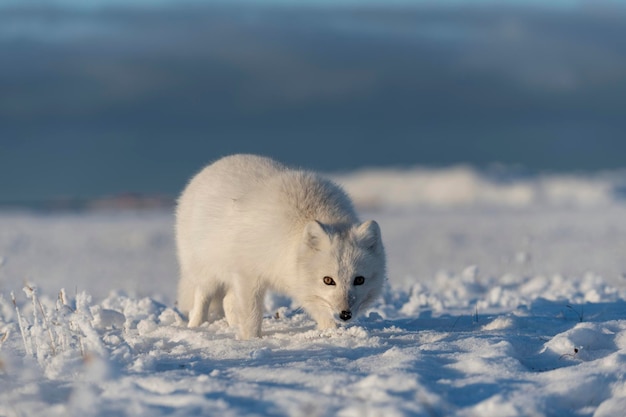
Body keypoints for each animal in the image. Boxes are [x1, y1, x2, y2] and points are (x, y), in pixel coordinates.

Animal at [173, 153, 382, 338]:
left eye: (359, 280)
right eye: (328, 280)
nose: (345, 314)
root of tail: (211, 167)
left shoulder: (303, 286)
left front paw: (332, 335)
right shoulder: (249, 275)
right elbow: (251, 315)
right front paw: (251, 340)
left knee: (227, 302)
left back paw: (232, 327)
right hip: (206, 271)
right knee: (202, 299)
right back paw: (195, 326)